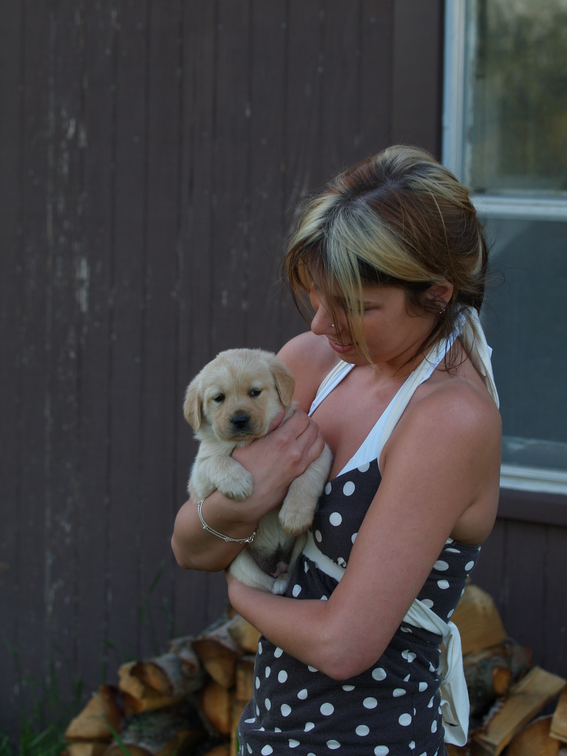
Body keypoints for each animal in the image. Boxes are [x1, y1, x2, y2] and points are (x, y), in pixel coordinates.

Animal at [184, 348, 333, 594]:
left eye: (254, 392)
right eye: (219, 398)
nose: (240, 420)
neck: (248, 442)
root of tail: (277, 564)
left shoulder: (319, 450)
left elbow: (306, 480)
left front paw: (295, 514)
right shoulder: (198, 476)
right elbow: (216, 460)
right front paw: (236, 481)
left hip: (297, 548)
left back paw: (284, 579)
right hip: (243, 566)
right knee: (267, 585)